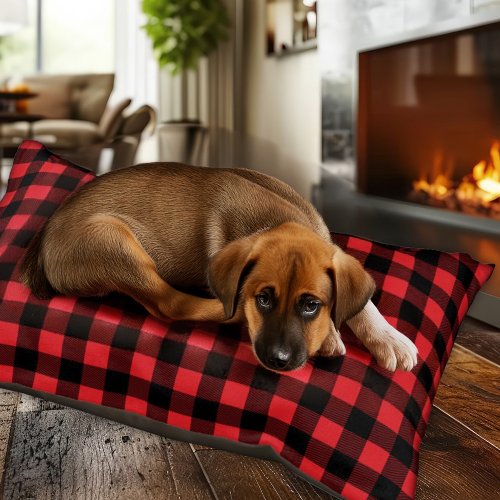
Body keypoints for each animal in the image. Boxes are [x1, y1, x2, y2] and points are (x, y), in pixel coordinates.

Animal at [20, 163, 418, 372]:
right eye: (263, 300)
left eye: (310, 305)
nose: (278, 359)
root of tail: (42, 240)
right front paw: (333, 337)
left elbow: (361, 302)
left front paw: (389, 339)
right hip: (112, 240)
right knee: (170, 303)